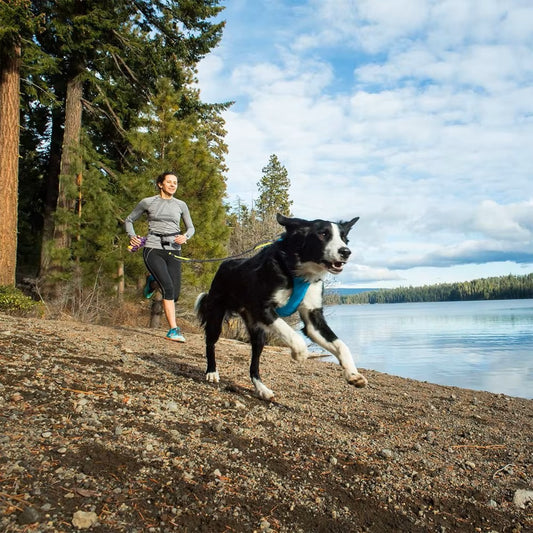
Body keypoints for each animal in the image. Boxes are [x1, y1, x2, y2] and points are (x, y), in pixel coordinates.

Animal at [194, 213, 366, 400]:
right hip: (216, 315)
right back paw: (212, 372)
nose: (346, 252)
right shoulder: (263, 308)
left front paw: (353, 374)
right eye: (323, 234)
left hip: (258, 334)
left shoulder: (313, 318)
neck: (299, 271)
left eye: (344, 238)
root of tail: (224, 264)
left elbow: (341, 345)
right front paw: (300, 353)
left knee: (254, 365)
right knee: (210, 343)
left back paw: (261, 389)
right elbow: (290, 332)